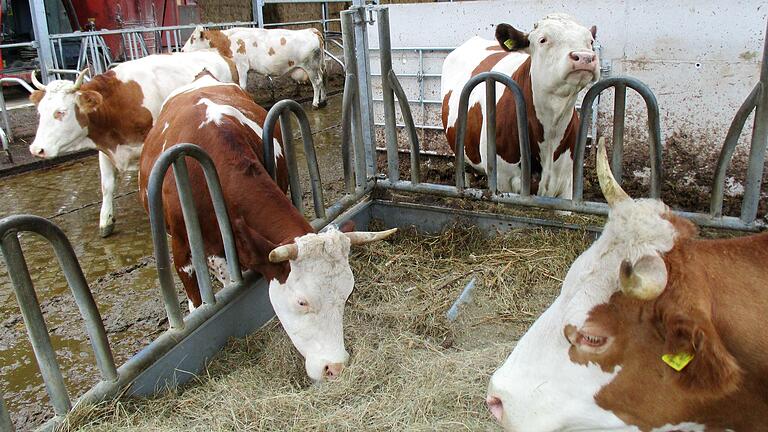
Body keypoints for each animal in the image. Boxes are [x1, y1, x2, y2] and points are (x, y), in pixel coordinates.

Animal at [28, 53, 240, 240]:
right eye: (39, 112)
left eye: (60, 112)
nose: (36, 149)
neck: (117, 102)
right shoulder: (105, 149)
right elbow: (107, 185)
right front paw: (106, 221)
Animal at [182, 25, 328, 109]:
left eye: (193, 38)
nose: (182, 50)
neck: (228, 41)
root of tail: (311, 30)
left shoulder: (241, 65)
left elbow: (242, 85)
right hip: (318, 67)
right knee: (322, 79)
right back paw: (323, 100)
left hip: (310, 67)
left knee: (317, 83)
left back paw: (315, 103)